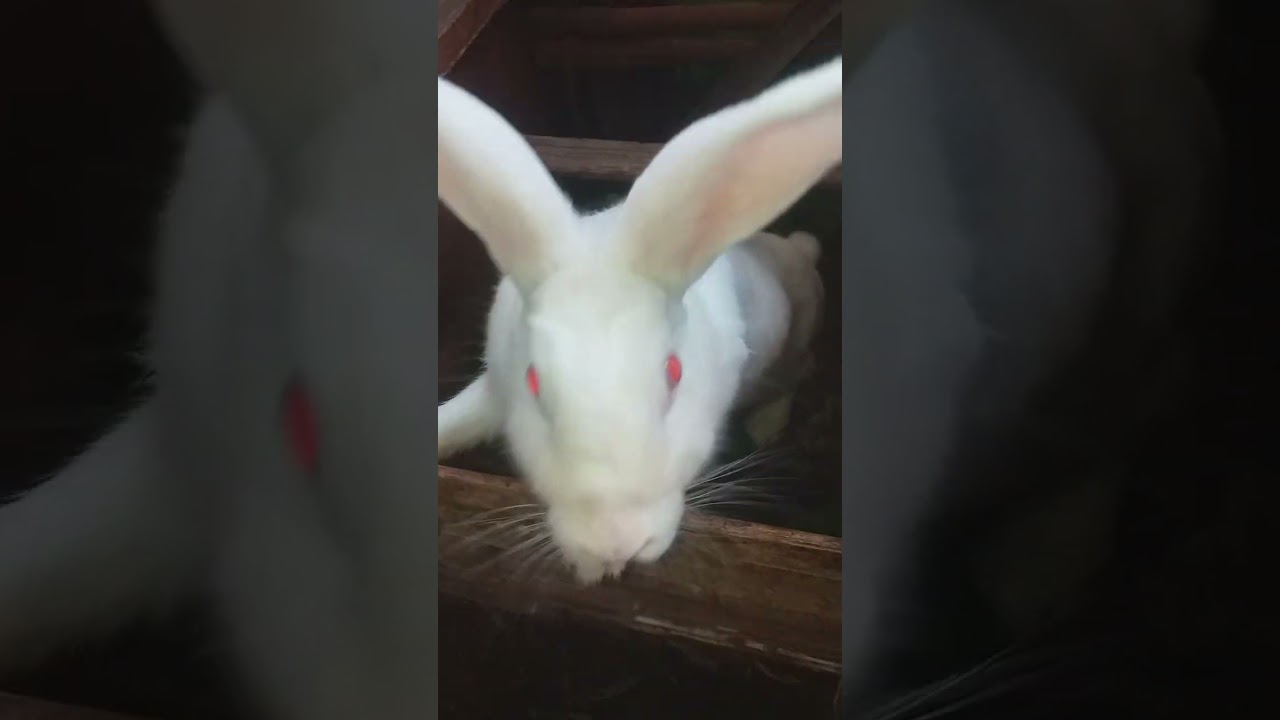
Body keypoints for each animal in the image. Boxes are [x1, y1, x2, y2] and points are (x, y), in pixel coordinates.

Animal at [436, 58, 840, 585]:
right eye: (534, 382)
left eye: (674, 372)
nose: (615, 549)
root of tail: (796, 249)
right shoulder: (494, 385)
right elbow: (459, 417)